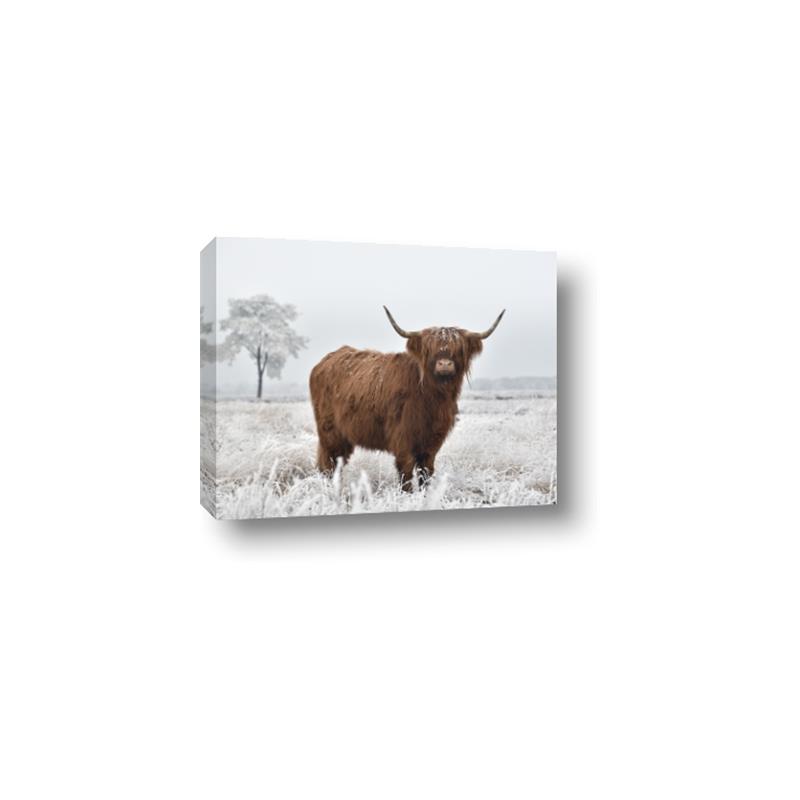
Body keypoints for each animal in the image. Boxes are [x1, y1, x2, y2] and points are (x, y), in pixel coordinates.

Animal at [309, 306, 505, 490]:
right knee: (329, 463)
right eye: (429, 349)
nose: (444, 364)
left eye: (459, 349)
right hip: (330, 432)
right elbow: (406, 472)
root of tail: (325, 361)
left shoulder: (432, 441)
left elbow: (426, 472)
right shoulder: (402, 438)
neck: (433, 399)